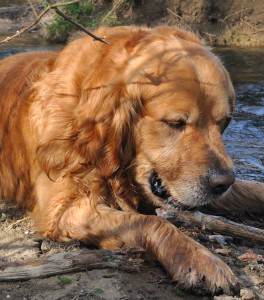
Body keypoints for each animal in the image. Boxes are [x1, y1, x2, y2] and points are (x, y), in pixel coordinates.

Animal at [0, 27, 239, 294]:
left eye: (224, 122)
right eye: (175, 123)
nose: (223, 183)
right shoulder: (60, 211)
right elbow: (149, 222)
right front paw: (199, 259)